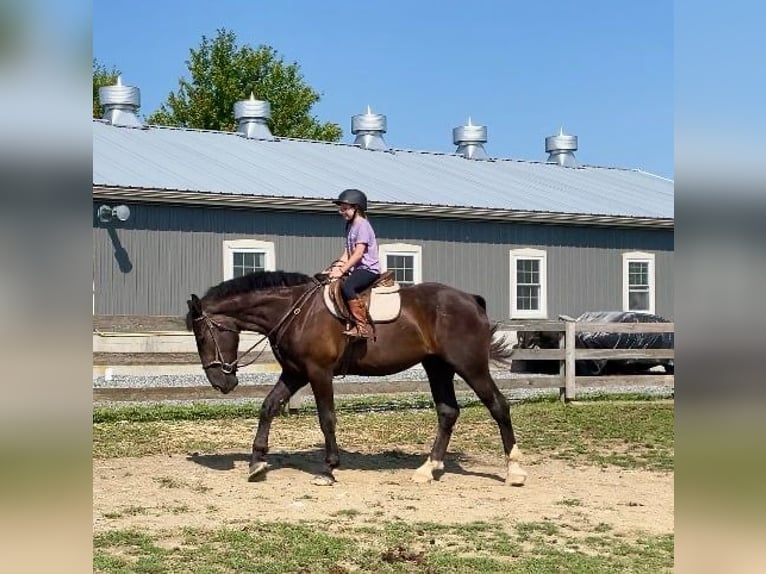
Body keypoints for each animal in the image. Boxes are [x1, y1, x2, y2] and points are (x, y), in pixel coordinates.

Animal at [188, 272, 528, 488]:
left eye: (203, 336)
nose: (221, 382)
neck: (295, 311)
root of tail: (470, 299)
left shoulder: (318, 372)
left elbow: (326, 418)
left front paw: (329, 468)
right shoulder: (295, 373)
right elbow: (268, 407)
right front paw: (257, 461)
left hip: (470, 366)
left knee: (499, 406)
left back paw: (514, 471)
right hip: (438, 367)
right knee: (448, 412)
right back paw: (428, 469)